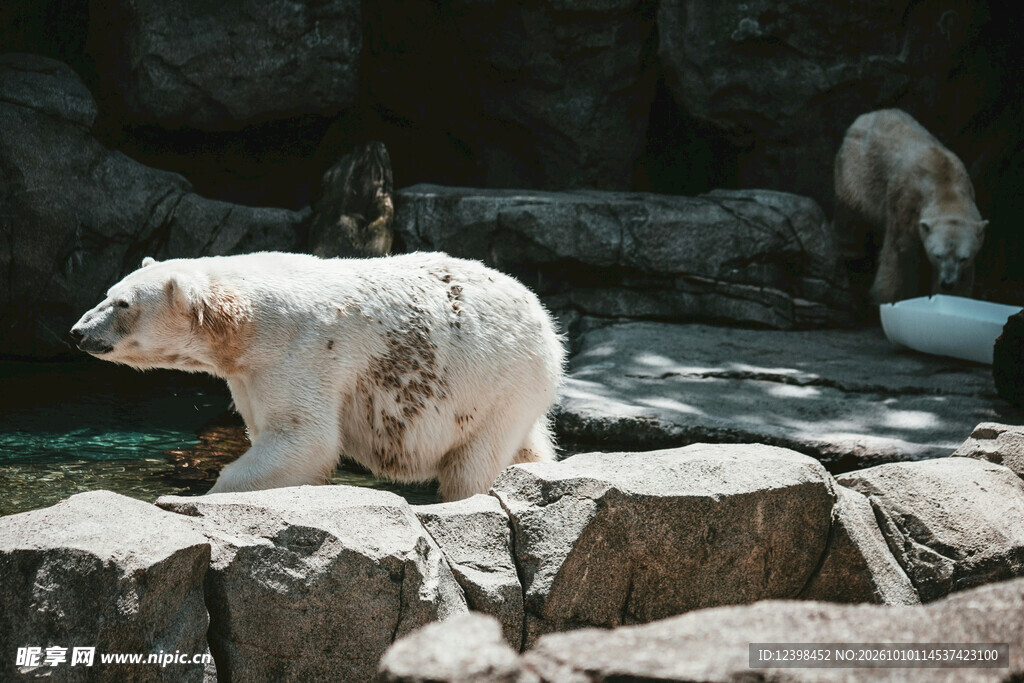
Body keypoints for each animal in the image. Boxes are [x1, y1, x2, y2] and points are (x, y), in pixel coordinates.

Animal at [70, 252, 565, 501]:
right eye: (108, 293)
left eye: (123, 304)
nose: (78, 332)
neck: (244, 321)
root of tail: (543, 317)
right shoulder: (248, 372)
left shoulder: (299, 352)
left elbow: (304, 438)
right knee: (527, 445)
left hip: (498, 379)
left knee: (472, 463)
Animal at [834, 108, 987, 305]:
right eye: (938, 255)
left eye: (963, 258)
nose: (947, 283)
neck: (945, 184)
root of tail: (868, 115)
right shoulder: (906, 203)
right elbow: (901, 255)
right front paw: (892, 299)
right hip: (858, 170)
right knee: (851, 211)